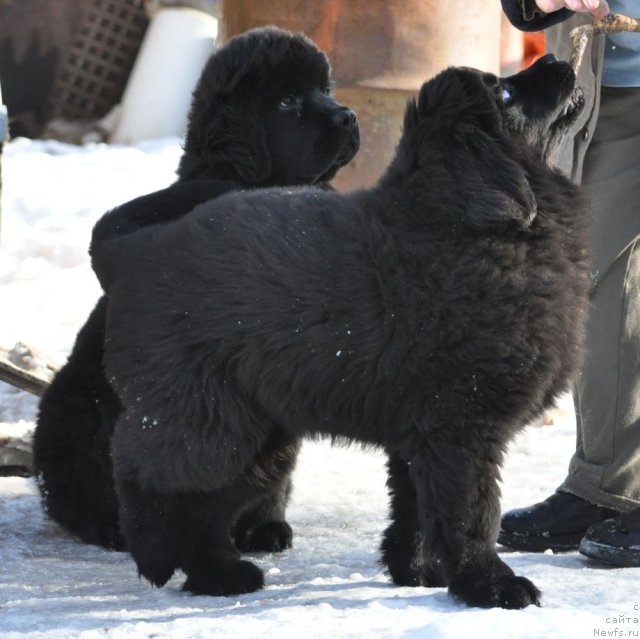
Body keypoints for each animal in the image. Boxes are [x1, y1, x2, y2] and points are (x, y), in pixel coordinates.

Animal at [32, 26, 360, 552]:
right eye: (287, 101)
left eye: (325, 90)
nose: (348, 116)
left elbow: (274, 467)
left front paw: (264, 525)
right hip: (73, 408)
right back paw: (116, 527)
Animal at [91, 56, 592, 608]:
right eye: (504, 94)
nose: (555, 60)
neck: (465, 224)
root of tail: (129, 252)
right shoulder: (463, 426)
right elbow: (473, 512)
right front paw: (491, 584)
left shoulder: (421, 434)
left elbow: (417, 509)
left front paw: (418, 570)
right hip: (207, 417)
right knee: (147, 473)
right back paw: (156, 555)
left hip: (259, 434)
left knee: (202, 507)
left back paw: (220, 574)